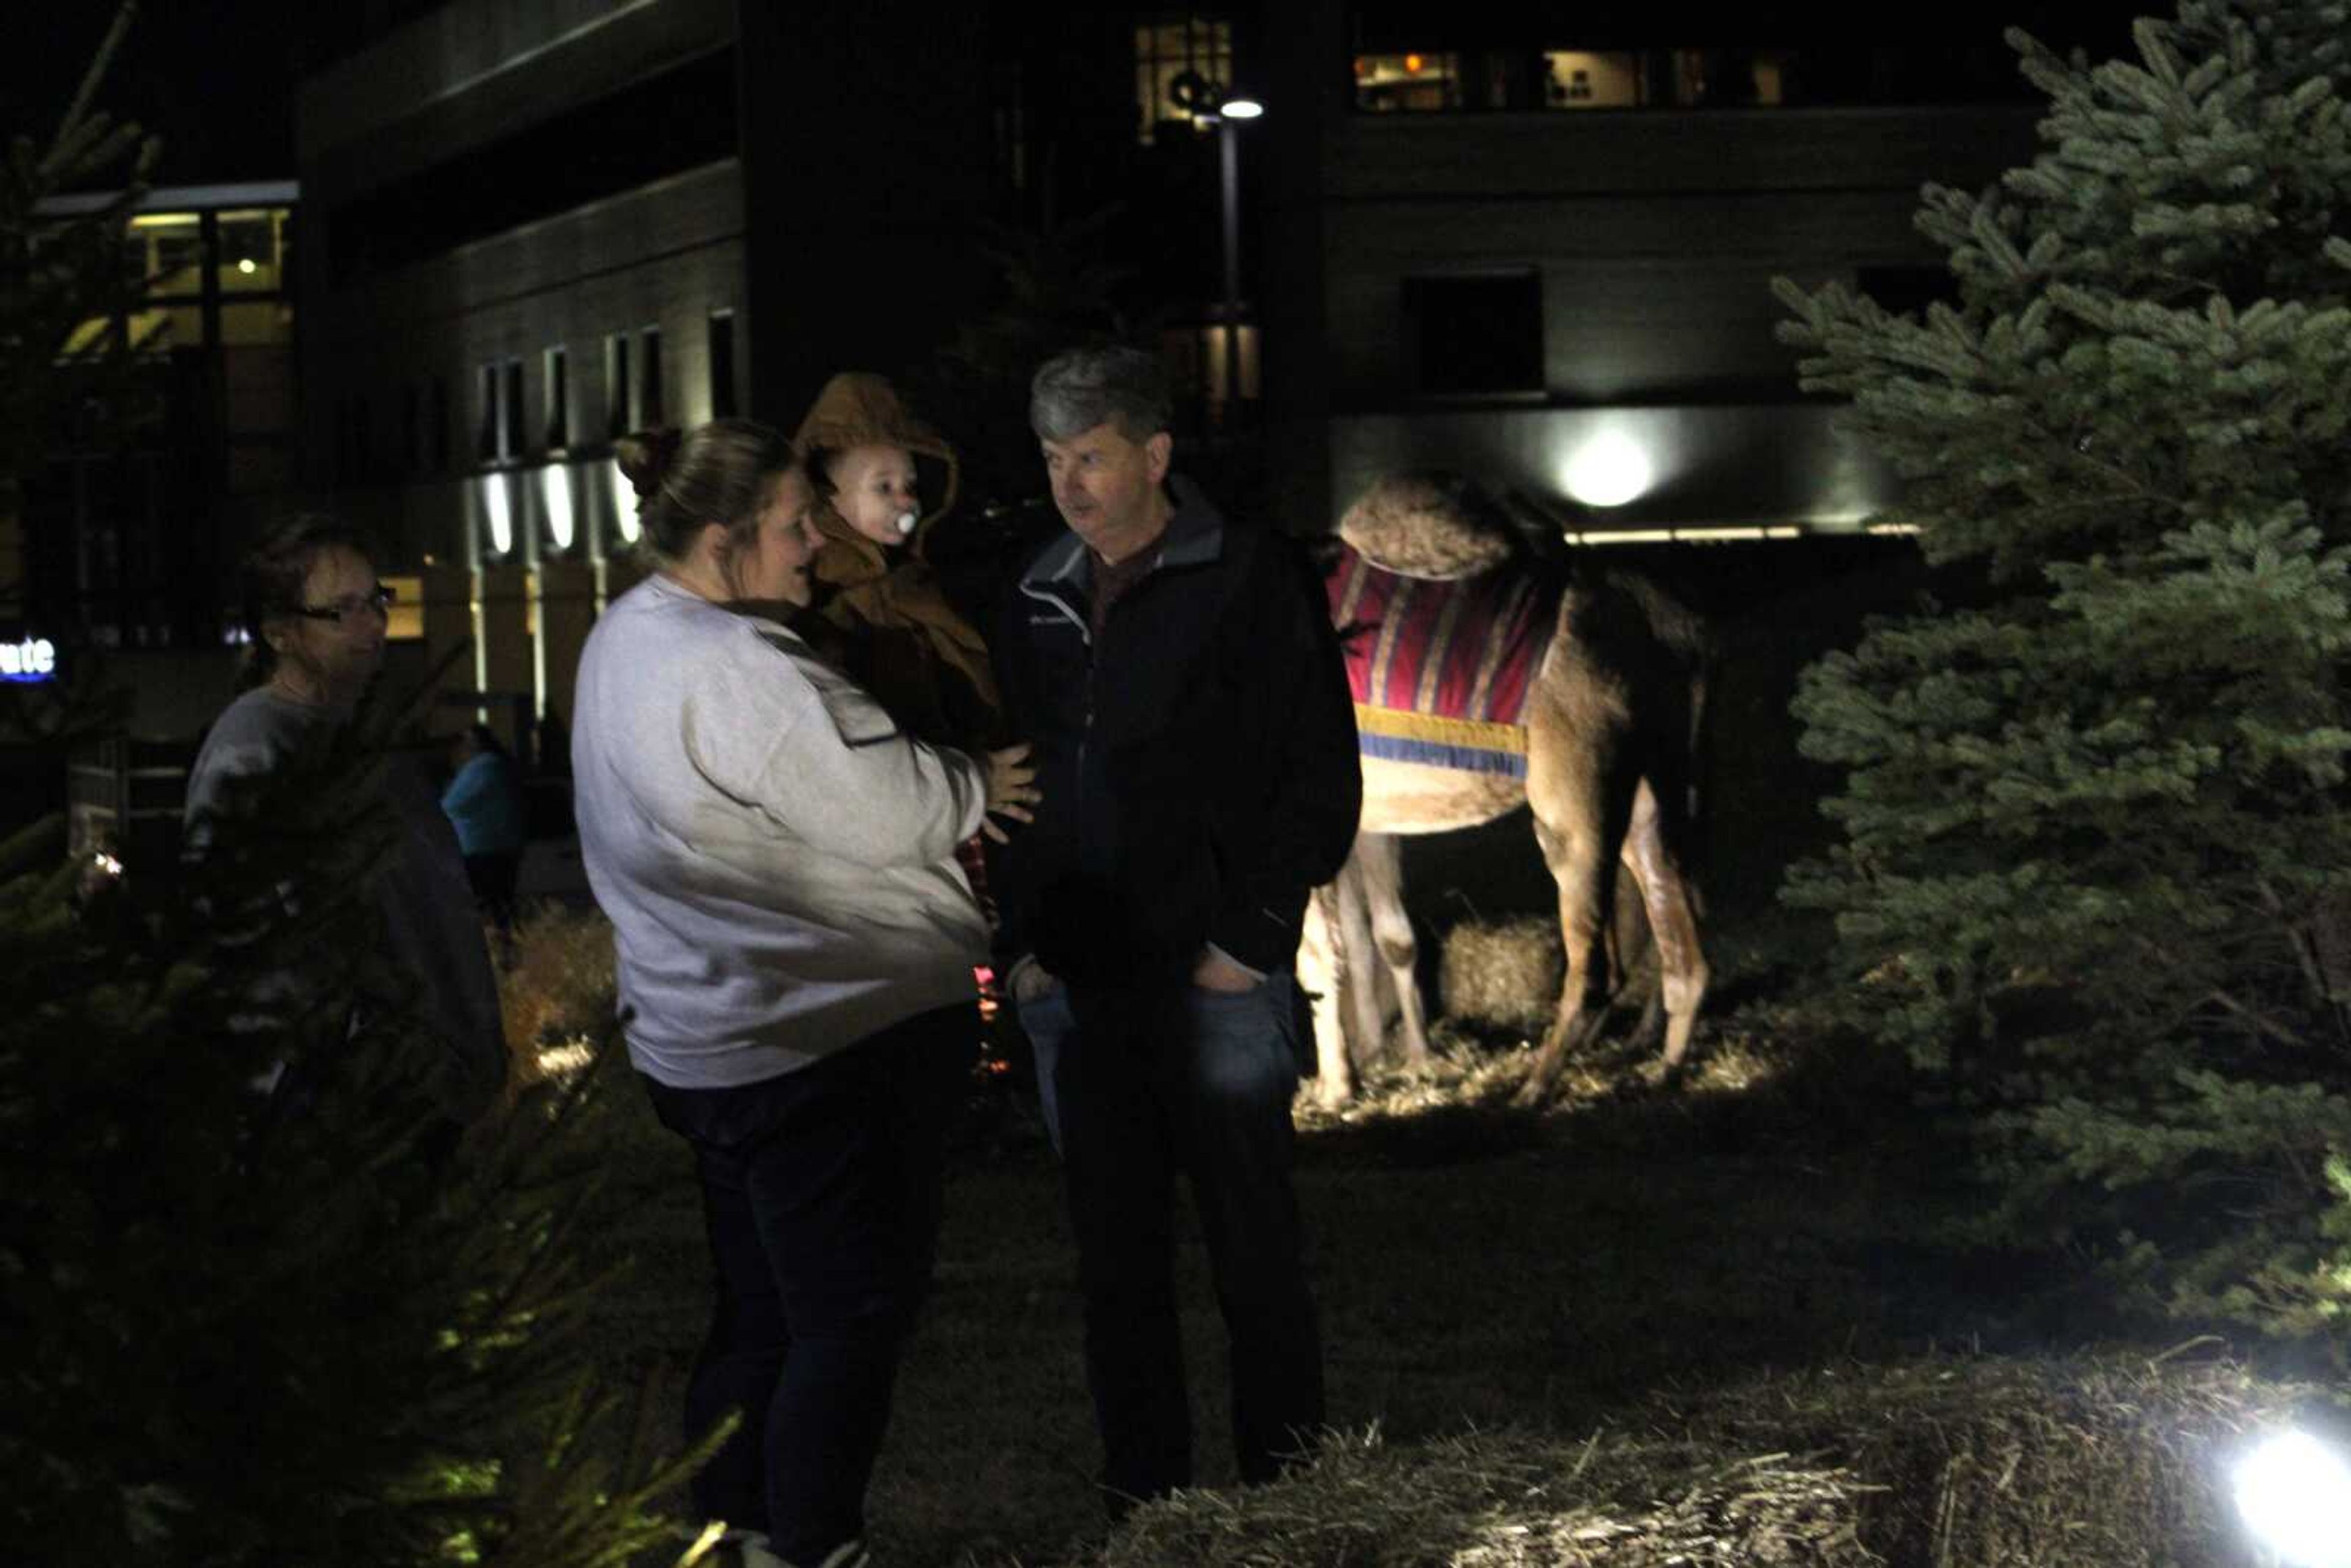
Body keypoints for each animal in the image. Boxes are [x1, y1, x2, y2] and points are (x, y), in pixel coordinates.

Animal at [1307, 475, 1711, 1105]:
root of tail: (1678, 624)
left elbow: (1321, 955)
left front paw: (1336, 1090)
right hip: (1653, 781)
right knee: (1677, 925)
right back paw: (1663, 1069)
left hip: (1576, 794)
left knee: (1598, 960)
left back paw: (1534, 1089)